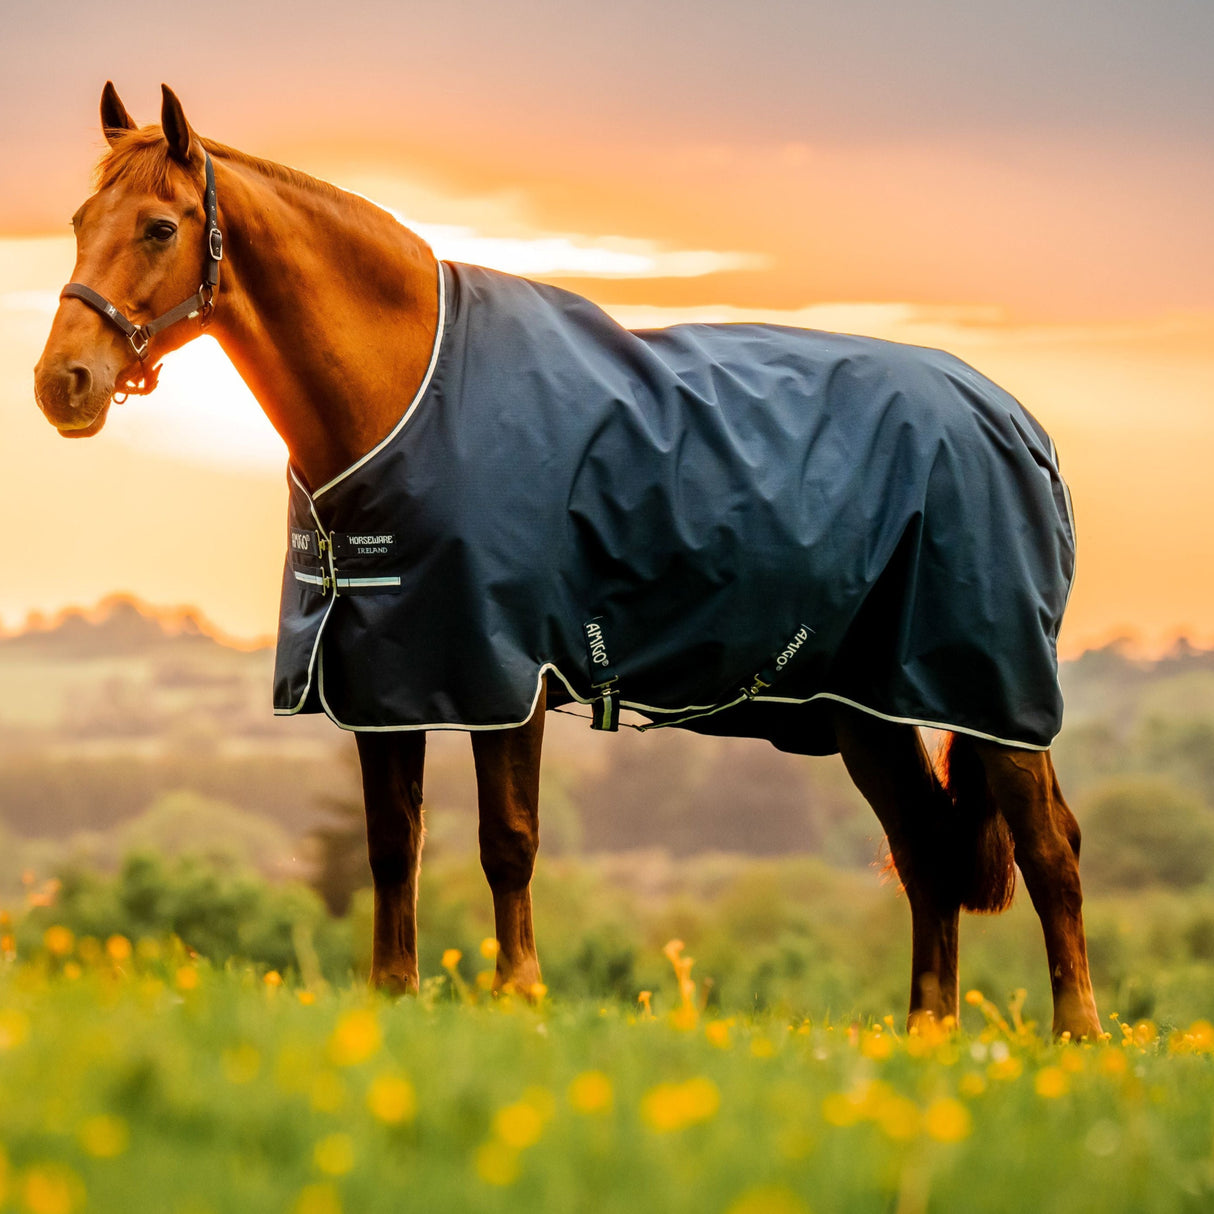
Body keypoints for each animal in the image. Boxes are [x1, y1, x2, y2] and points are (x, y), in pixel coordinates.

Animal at [34, 83, 1102, 1039]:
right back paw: (928, 1037)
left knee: (1050, 850)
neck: (409, 395)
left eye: (160, 227)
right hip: (864, 708)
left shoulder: (504, 674)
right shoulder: (386, 678)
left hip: (996, 693)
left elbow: (508, 843)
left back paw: (1080, 1039)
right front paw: (395, 995)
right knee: (925, 850)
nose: (61, 383)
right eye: (82, 219)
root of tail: (1019, 425)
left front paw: (521, 997)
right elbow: (392, 846)